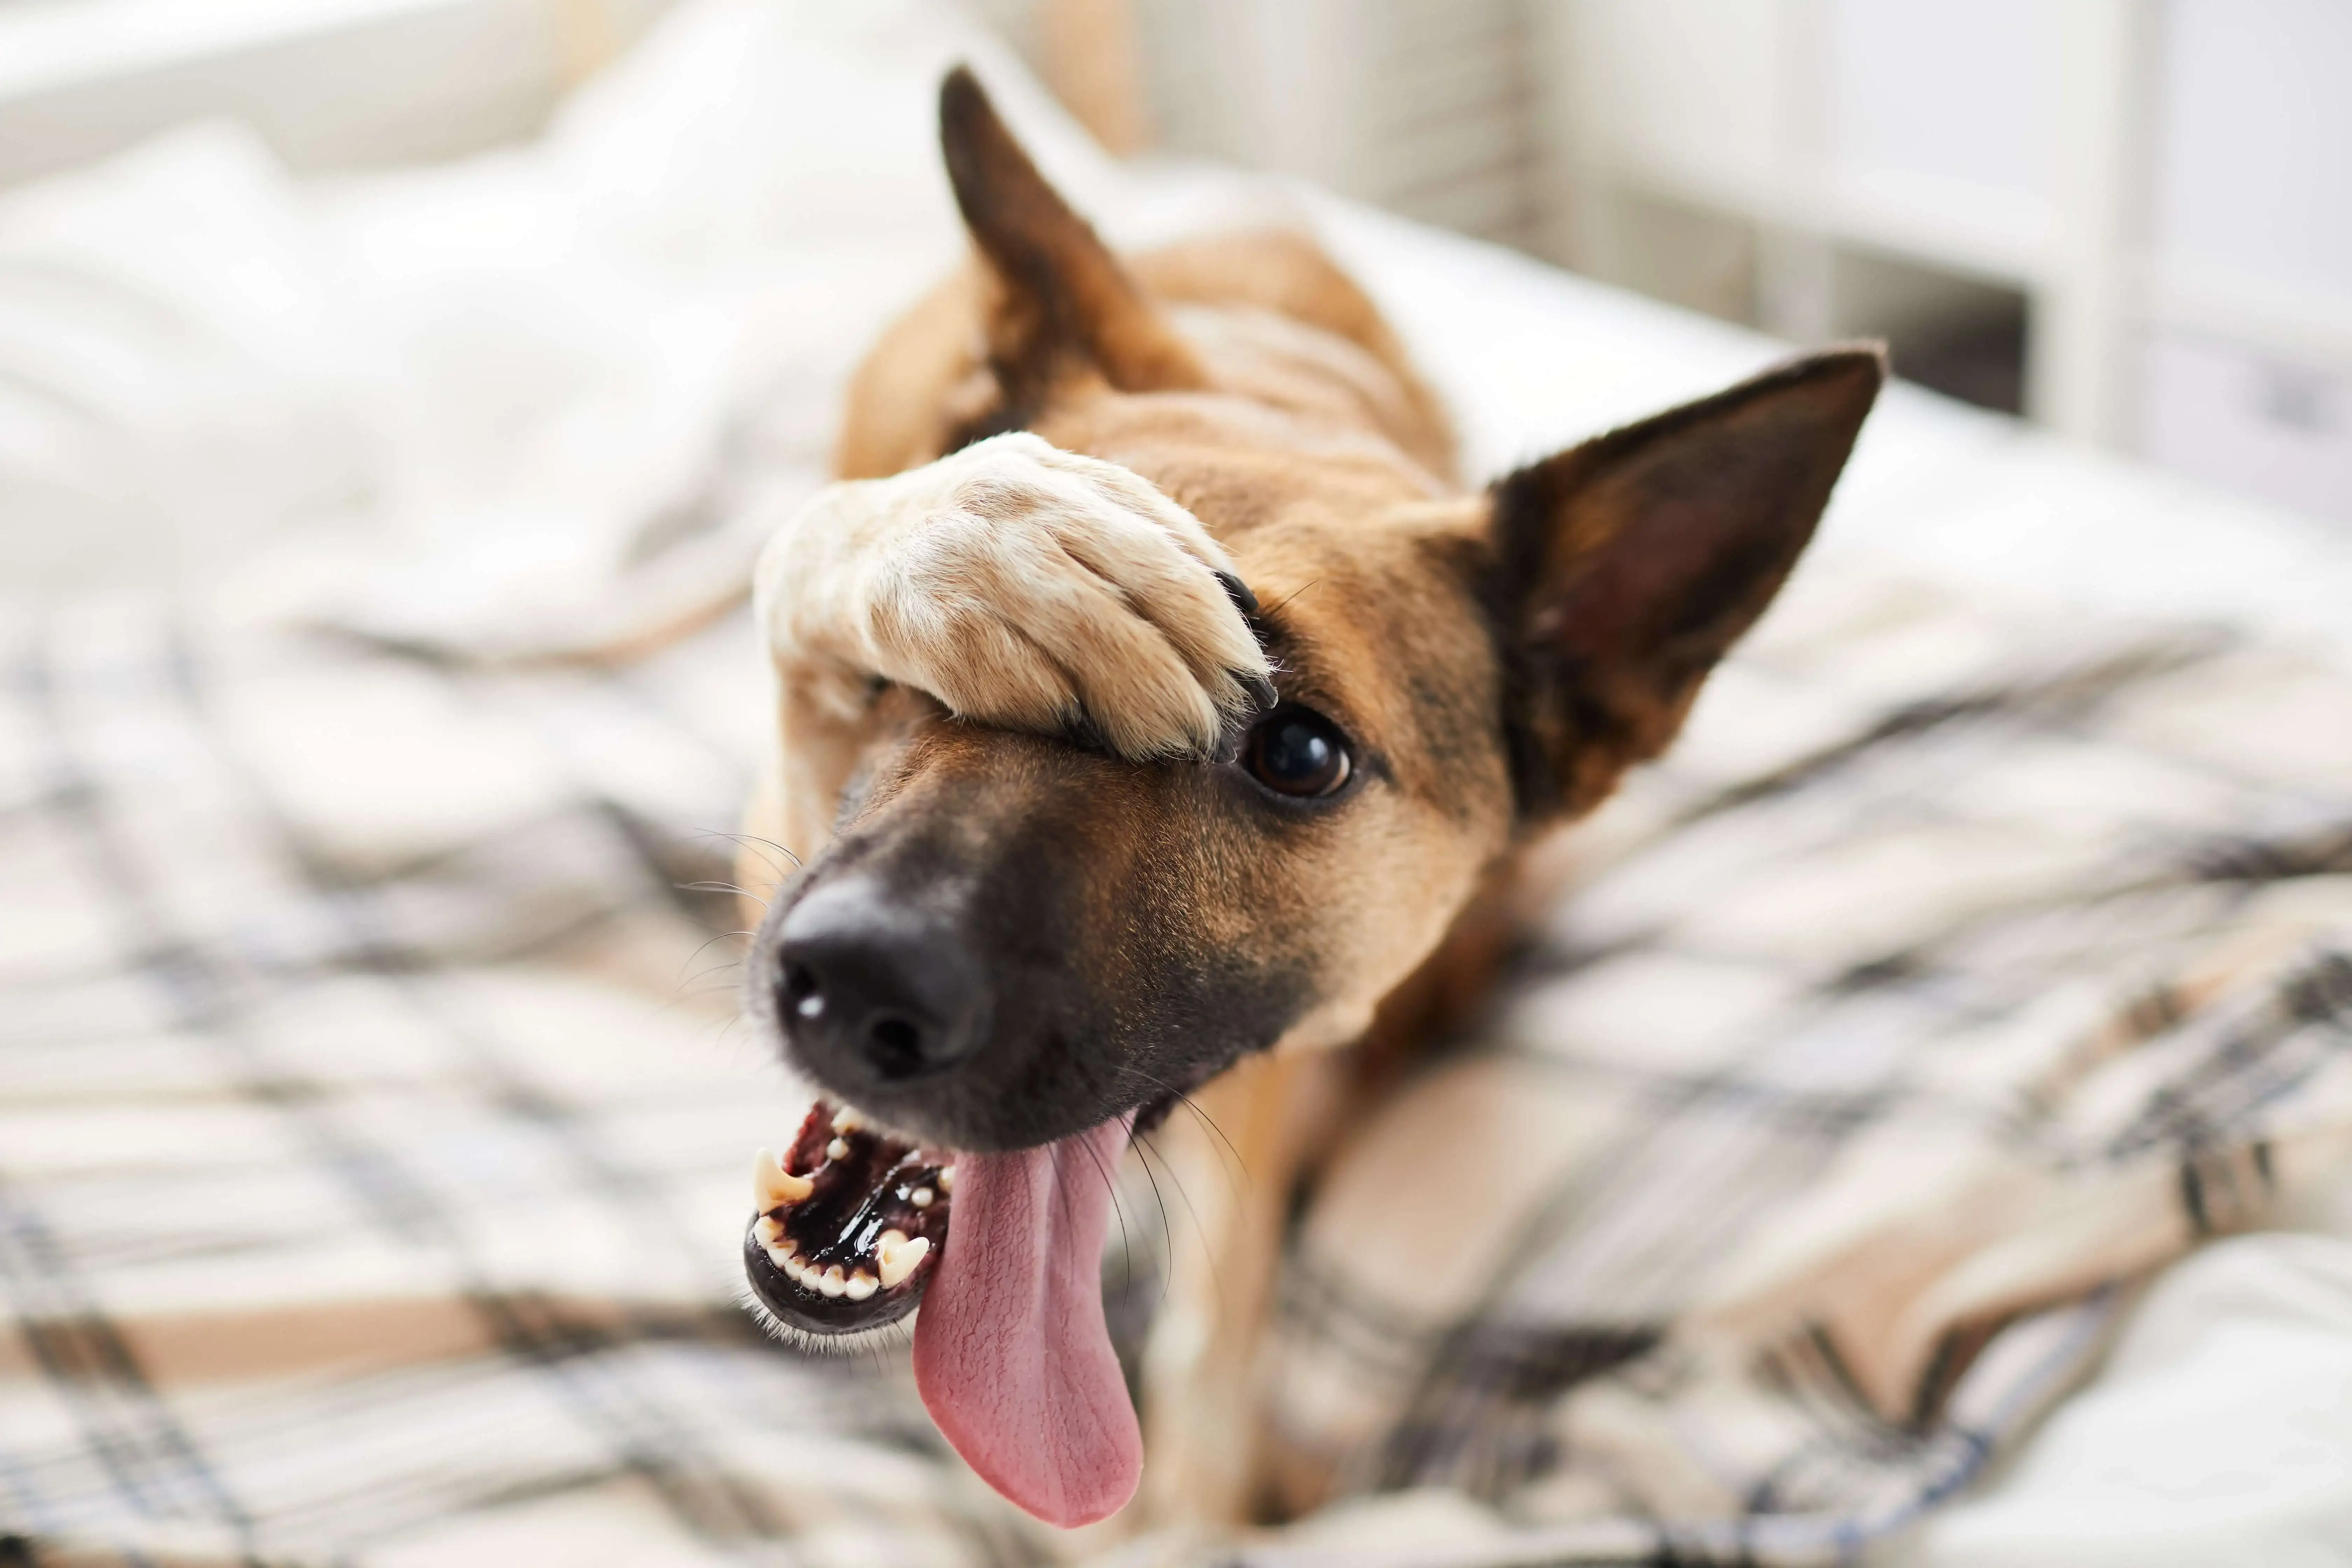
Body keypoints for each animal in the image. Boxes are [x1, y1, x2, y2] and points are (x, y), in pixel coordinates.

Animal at [734, 70, 1872, 1533]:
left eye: (1299, 755)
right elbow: (832, 552)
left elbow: (1218, 1322)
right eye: (933, 673)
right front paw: (985, 539)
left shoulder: (1267, 1094)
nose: (856, 979)